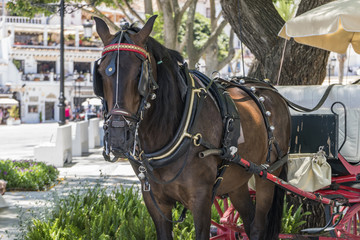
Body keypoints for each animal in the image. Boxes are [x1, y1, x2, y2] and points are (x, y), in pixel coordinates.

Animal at [94, 15, 292, 239]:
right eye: (100, 74)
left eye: (139, 75)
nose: (118, 137)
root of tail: (269, 89)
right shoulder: (155, 202)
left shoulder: (201, 198)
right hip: (237, 179)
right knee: (248, 221)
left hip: (269, 174)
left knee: (258, 226)